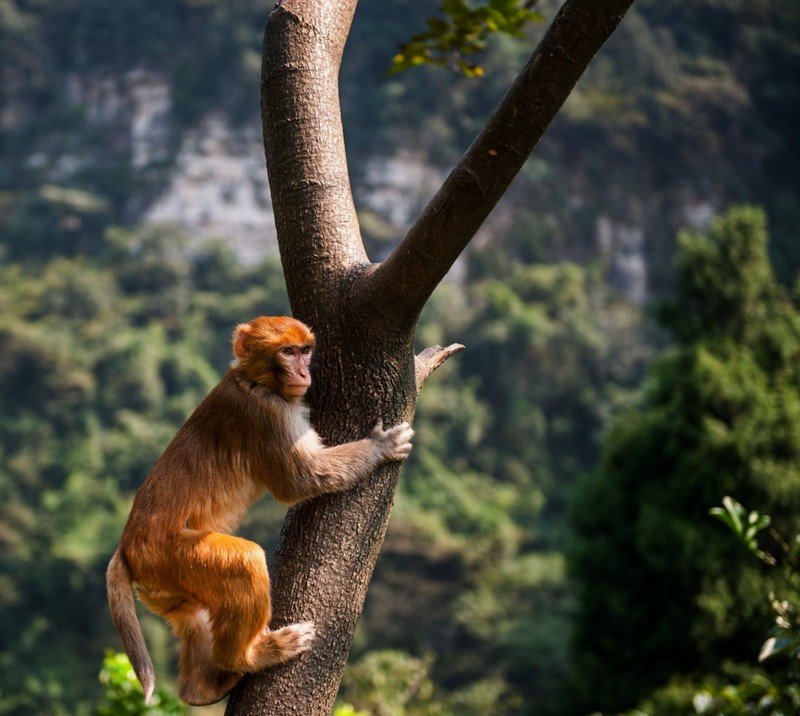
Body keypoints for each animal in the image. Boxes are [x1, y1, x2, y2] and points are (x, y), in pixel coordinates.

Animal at [105, 316, 412, 708]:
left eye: (305, 350)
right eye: (287, 352)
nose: (303, 371)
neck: (252, 380)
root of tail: (127, 546)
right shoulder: (268, 415)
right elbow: (303, 480)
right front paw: (380, 446)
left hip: (161, 586)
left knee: (193, 615)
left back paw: (200, 689)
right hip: (168, 556)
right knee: (245, 562)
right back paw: (249, 657)